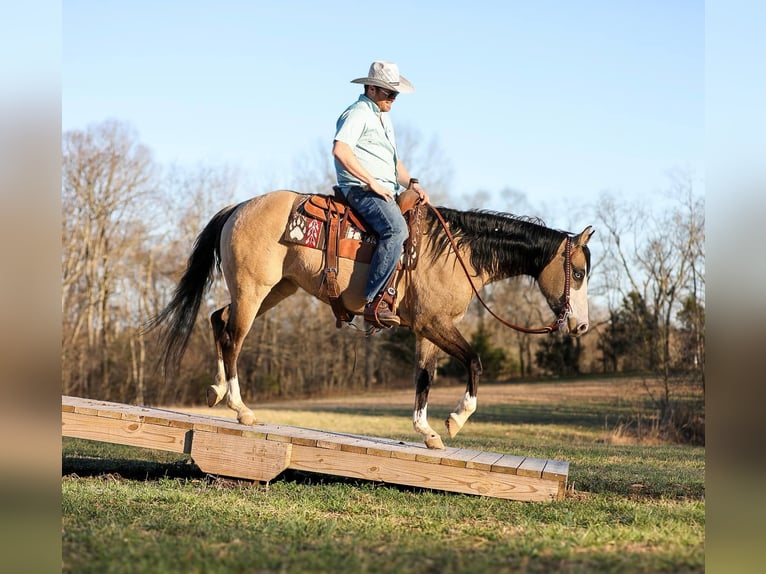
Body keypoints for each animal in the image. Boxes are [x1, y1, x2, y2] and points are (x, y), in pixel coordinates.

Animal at [147, 190, 596, 450]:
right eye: (577, 272)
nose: (581, 327)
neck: (456, 254)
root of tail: (237, 207)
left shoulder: (427, 330)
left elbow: (424, 378)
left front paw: (427, 432)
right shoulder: (435, 324)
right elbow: (474, 361)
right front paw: (455, 420)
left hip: (275, 289)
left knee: (218, 319)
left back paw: (216, 390)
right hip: (254, 288)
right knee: (234, 338)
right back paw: (240, 408)